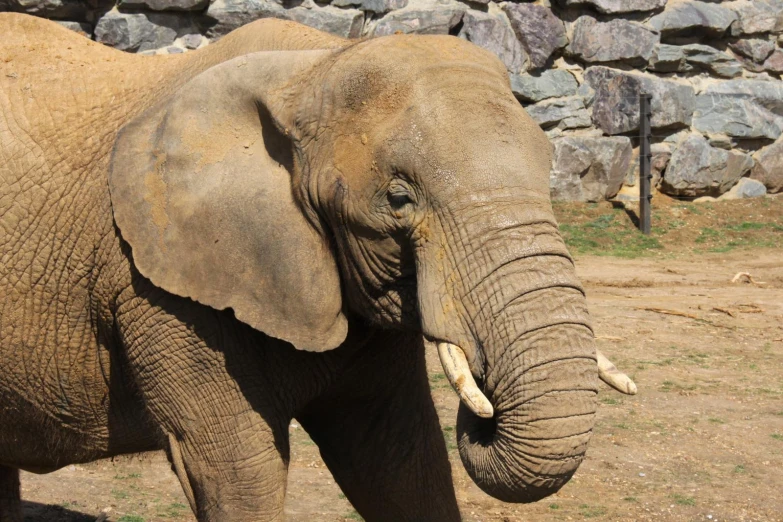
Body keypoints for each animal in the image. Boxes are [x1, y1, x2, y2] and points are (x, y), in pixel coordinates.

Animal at [1, 13, 636, 520]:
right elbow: (236, 470)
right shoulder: (159, 290)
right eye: (398, 199)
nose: (485, 410)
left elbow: (399, 460)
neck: (314, 69)